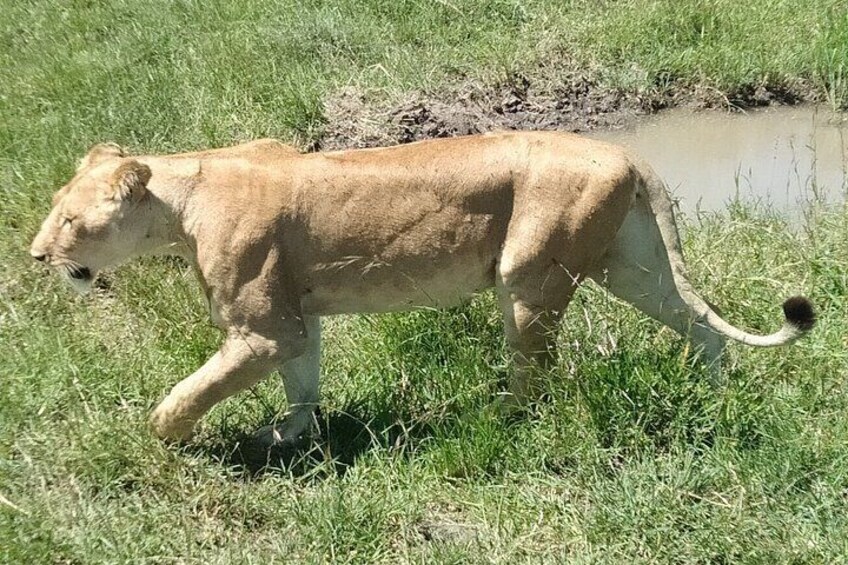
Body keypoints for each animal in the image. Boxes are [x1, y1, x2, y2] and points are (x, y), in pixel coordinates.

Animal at [30, 132, 815, 445]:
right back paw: (713, 388)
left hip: (528, 276)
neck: (181, 196)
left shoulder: (260, 329)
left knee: (536, 374)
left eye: (69, 220)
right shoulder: (297, 319)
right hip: (632, 266)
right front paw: (292, 436)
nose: (37, 256)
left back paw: (497, 419)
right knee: (702, 322)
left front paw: (167, 438)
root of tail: (625, 150)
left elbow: (189, 391)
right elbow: (303, 383)